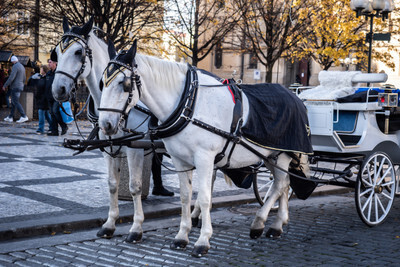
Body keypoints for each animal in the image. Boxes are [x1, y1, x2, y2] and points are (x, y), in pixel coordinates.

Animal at [51, 16, 148, 243]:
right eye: (57, 52)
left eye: (78, 52)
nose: (58, 89)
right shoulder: (108, 147)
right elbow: (112, 183)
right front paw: (110, 224)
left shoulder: (135, 149)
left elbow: (135, 187)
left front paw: (136, 228)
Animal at [97, 41, 310, 258]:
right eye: (101, 83)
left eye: (124, 84)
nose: (105, 125)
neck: (188, 104)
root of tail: (295, 96)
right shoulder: (180, 160)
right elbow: (186, 196)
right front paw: (182, 236)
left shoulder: (205, 159)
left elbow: (205, 198)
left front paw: (202, 240)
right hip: (269, 155)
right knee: (283, 183)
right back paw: (277, 223)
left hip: (282, 154)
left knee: (280, 184)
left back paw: (262, 223)